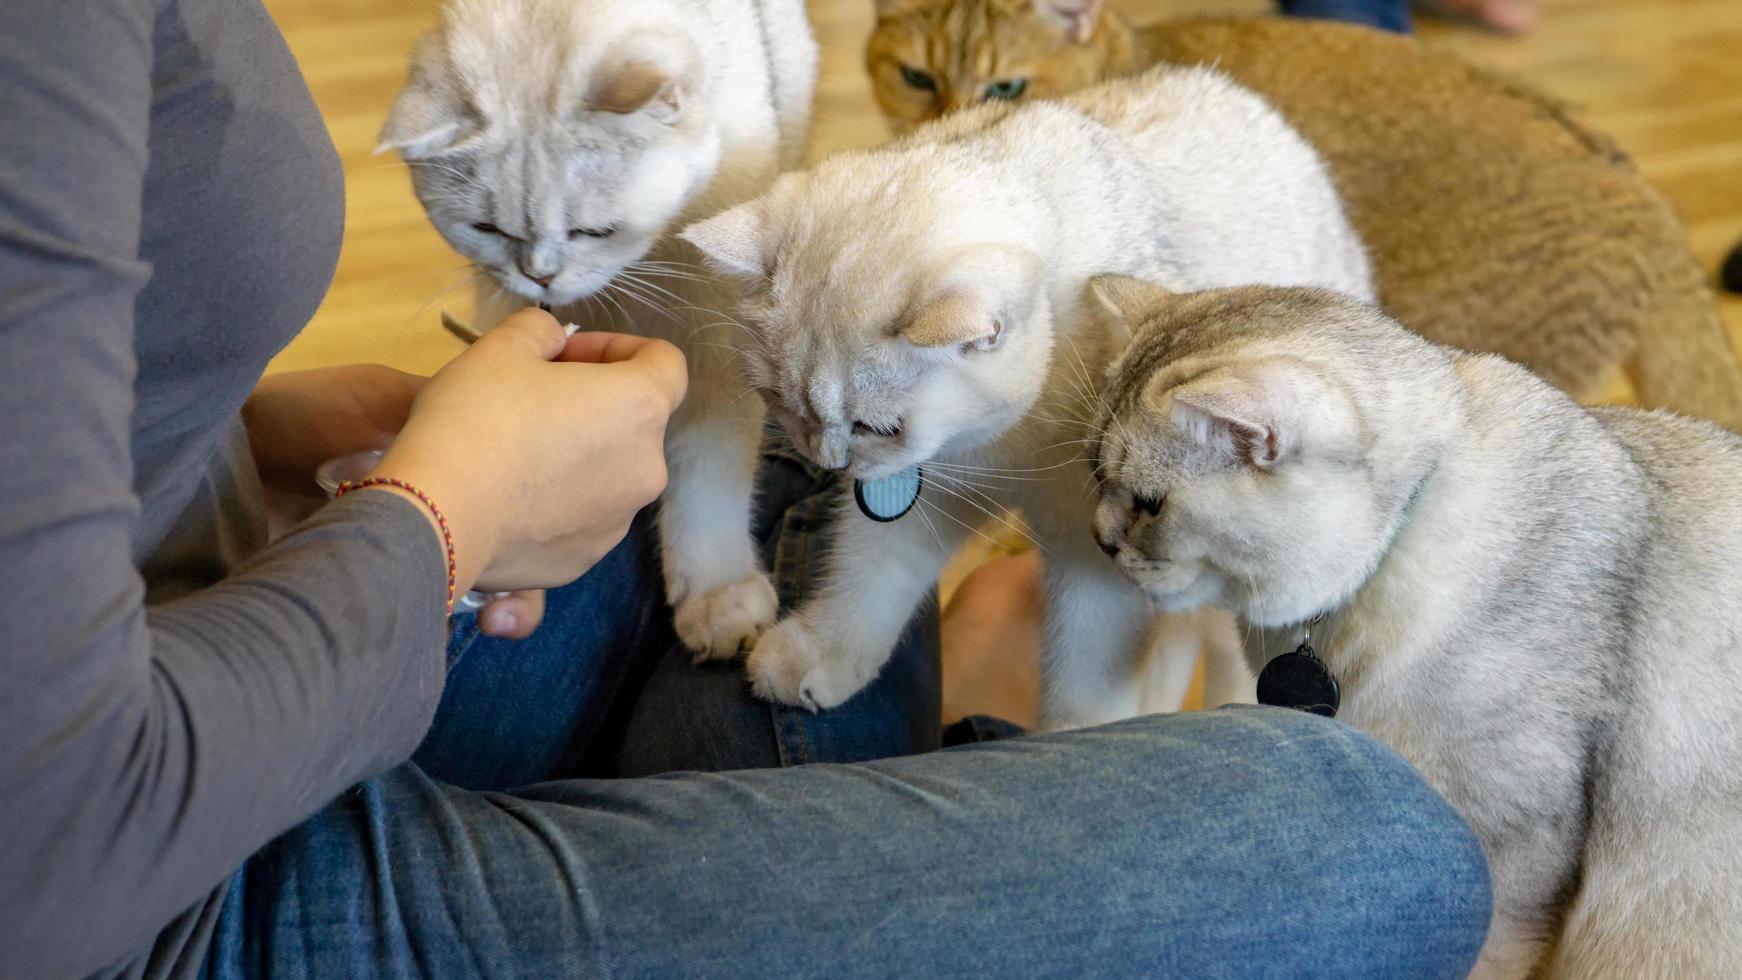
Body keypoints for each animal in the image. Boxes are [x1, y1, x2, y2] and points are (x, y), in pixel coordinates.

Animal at [381, 0, 815, 664]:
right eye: (486, 229)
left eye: (595, 231)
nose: (540, 274)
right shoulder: (504, 305)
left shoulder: (717, 349)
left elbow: (708, 474)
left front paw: (716, 594)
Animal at [679, 65, 1372, 727]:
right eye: (781, 403)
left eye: (876, 428)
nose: (827, 462)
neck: (1006, 442)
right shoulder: (934, 489)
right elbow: (871, 572)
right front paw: (823, 651)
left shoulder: (1097, 554)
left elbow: (1084, 678)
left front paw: (1076, 740)